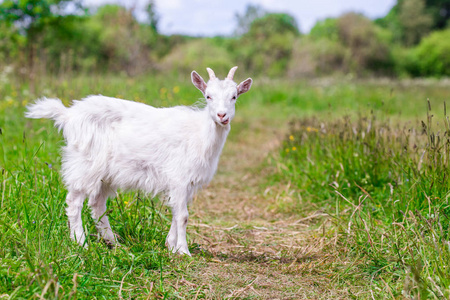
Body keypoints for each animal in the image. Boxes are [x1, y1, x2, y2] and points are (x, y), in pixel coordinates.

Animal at [25, 67, 253, 254]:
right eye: (208, 96)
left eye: (234, 97)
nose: (222, 115)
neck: (199, 133)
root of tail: (67, 115)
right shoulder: (179, 177)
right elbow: (183, 216)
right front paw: (183, 251)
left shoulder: (186, 183)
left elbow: (176, 213)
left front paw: (170, 245)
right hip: (85, 163)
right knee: (74, 202)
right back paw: (80, 243)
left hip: (106, 174)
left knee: (97, 204)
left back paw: (113, 242)